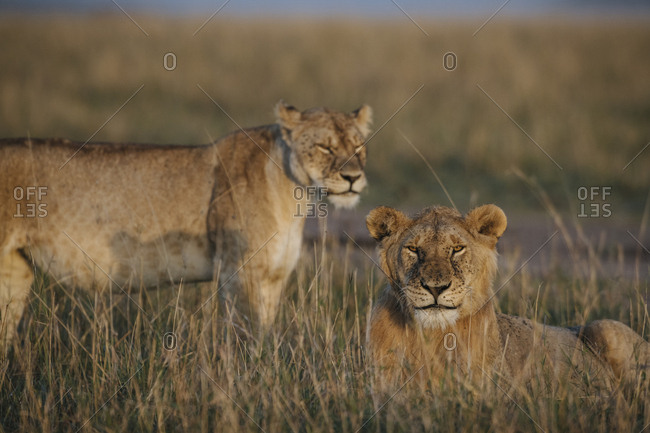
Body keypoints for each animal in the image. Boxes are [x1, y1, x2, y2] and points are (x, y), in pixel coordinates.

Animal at [0, 101, 372, 347]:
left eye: (358, 147)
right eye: (325, 147)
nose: (353, 178)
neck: (296, 195)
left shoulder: (273, 278)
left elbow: (264, 334)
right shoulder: (240, 272)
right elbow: (246, 337)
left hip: (14, 273)